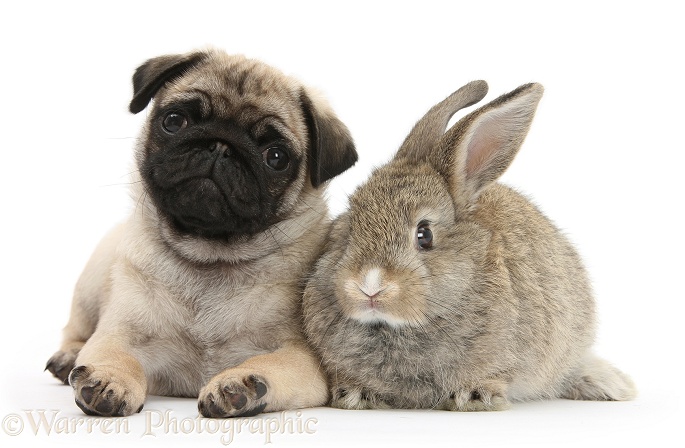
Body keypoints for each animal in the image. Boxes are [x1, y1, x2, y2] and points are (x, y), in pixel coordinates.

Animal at [46, 50, 358, 418]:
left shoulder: (302, 357)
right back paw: (67, 358)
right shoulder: (118, 333)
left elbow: (271, 364)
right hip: (93, 278)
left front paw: (240, 385)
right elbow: (116, 355)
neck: (209, 257)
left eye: (276, 157)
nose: (221, 146)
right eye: (174, 121)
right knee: (75, 330)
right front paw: (109, 378)